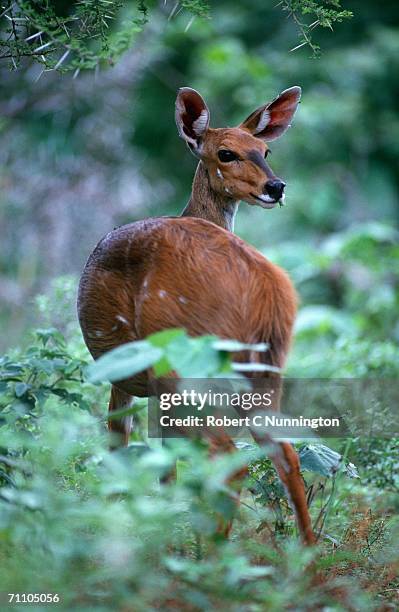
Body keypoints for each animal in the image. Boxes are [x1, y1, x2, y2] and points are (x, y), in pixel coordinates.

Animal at [76, 85, 318, 544]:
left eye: (266, 151)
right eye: (226, 153)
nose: (276, 186)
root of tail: (267, 289)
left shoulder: (122, 370)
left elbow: (121, 445)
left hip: (186, 366)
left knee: (227, 456)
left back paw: (213, 550)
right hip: (264, 372)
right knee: (285, 453)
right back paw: (310, 555)